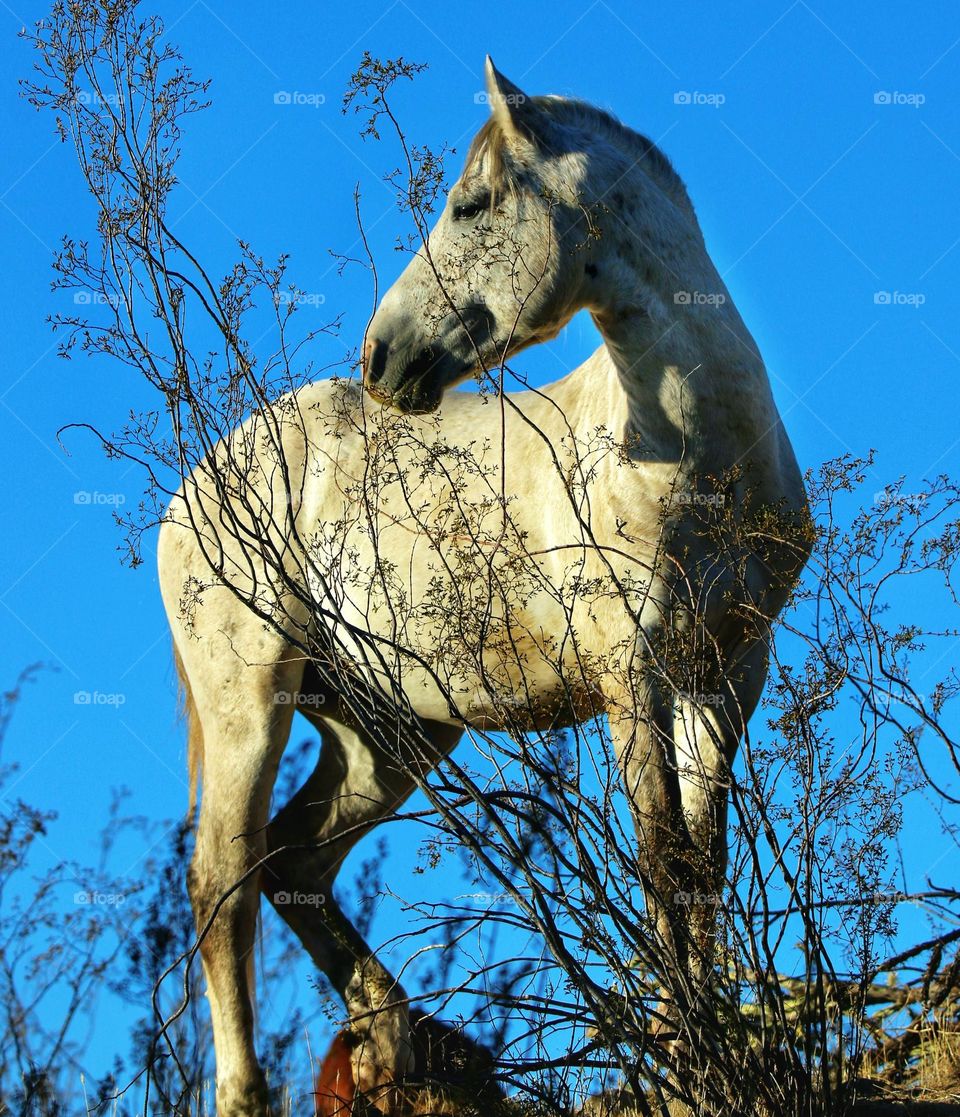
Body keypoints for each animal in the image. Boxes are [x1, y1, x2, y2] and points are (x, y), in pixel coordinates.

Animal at [157, 57, 810, 1116]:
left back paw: (397, 1038)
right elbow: (660, 858)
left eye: (470, 204)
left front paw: (714, 1041)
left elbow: (702, 864)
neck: (692, 454)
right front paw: (688, 1053)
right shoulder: (632, 676)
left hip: (391, 733)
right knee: (223, 884)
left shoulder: (727, 673)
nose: (382, 356)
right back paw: (253, 1090)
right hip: (250, 706)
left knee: (296, 862)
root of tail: (193, 490)